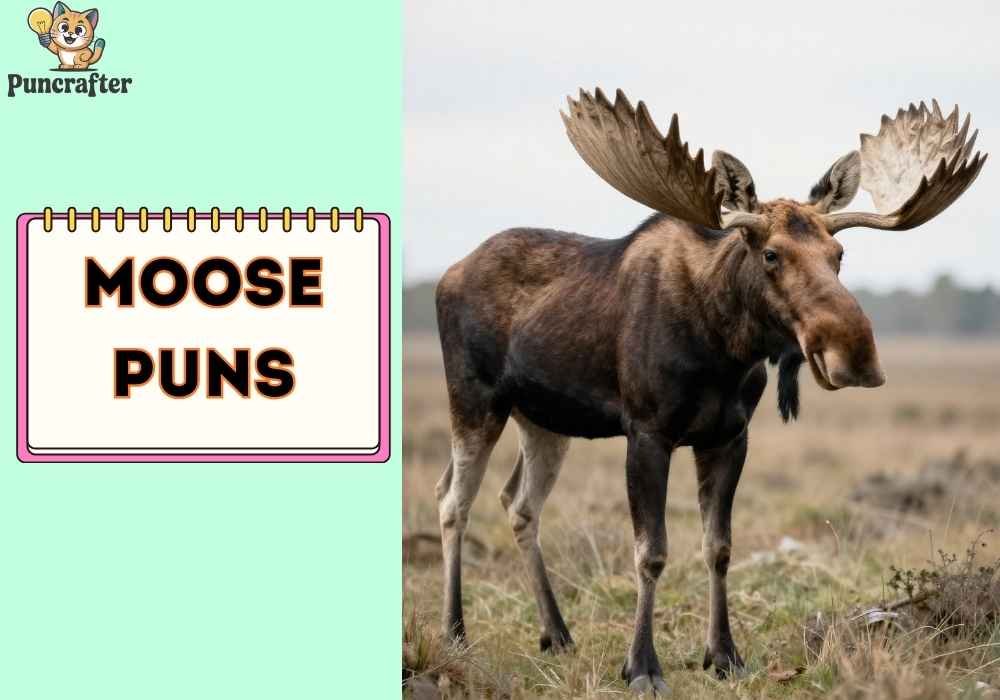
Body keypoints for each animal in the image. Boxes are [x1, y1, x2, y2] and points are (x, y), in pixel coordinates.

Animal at [433, 88, 986, 694]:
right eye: (771, 254)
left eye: (839, 256)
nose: (856, 355)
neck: (723, 348)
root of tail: (447, 273)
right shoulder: (647, 432)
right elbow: (651, 553)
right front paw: (641, 666)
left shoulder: (728, 436)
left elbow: (718, 547)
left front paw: (723, 655)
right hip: (475, 400)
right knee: (453, 501)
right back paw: (455, 631)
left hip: (544, 419)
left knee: (519, 504)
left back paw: (556, 633)